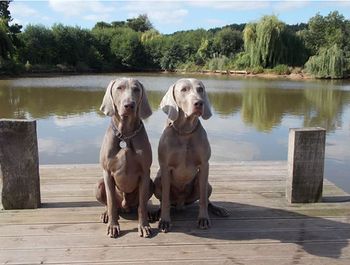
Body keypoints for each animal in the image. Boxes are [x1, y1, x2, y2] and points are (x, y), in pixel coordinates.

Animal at [94, 77, 153, 237]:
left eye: (136, 89)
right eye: (119, 88)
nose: (129, 105)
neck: (126, 134)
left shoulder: (145, 173)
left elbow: (142, 204)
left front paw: (144, 226)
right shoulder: (107, 172)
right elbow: (111, 202)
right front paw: (113, 226)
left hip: (151, 183)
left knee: (140, 204)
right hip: (99, 185)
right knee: (110, 203)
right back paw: (105, 214)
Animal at [154, 77, 228, 231]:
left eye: (200, 89)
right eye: (184, 89)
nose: (199, 103)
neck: (185, 132)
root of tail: (181, 204)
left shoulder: (204, 165)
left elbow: (203, 199)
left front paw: (203, 218)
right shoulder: (165, 167)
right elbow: (165, 198)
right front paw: (164, 221)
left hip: (205, 183)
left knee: (206, 198)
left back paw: (218, 209)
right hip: (157, 180)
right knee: (164, 200)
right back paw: (157, 212)